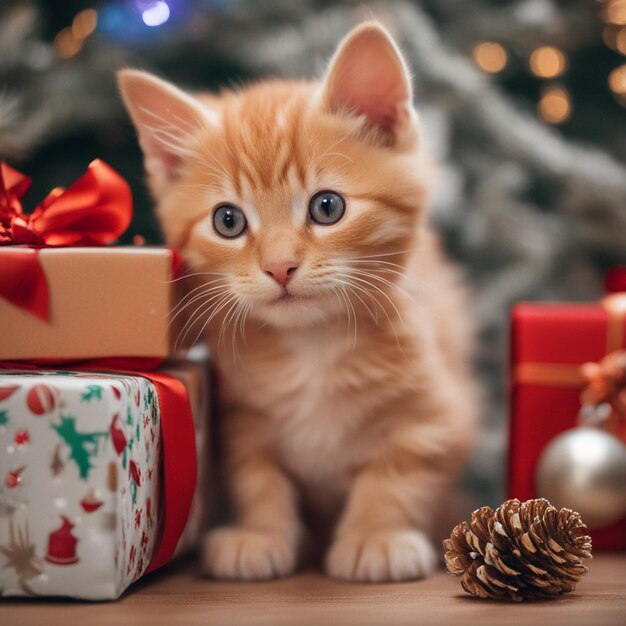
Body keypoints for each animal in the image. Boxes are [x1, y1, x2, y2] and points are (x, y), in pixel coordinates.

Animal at [118, 23, 478, 580]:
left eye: (327, 207)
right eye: (228, 221)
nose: (280, 267)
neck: (314, 346)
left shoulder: (438, 414)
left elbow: (399, 473)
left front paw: (376, 536)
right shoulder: (243, 417)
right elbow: (258, 476)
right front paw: (261, 534)